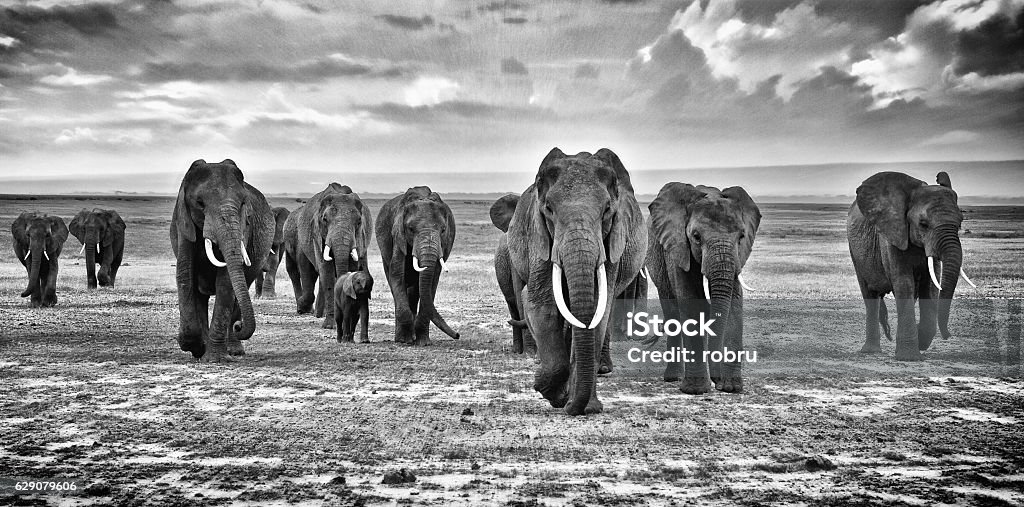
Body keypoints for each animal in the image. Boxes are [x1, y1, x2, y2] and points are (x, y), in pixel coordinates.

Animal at [171, 158, 276, 360]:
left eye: (243, 203)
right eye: (200, 203)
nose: (239, 327)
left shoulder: (244, 227)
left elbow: (226, 282)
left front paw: (214, 359)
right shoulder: (183, 224)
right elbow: (185, 274)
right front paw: (195, 347)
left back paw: (234, 350)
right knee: (200, 295)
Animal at [288, 182, 372, 329]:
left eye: (358, 222)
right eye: (325, 220)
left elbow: (352, 267)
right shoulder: (318, 235)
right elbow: (326, 271)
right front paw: (329, 325)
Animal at [376, 186, 460, 346]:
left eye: (443, 230)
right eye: (410, 229)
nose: (458, 334)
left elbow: (432, 279)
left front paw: (423, 342)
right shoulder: (398, 236)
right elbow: (397, 274)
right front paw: (404, 340)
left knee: (415, 290)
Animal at [505, 147, 647, 415]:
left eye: (607, 210)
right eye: (549, 209)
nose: (571, 406)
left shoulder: (611, 243)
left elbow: (600, 309)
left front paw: (584, 406)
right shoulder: (539, 239)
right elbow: (543, 306)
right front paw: (551, 391)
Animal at [847, 173, 974, 362]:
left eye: (959, 224)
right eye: (923, 224)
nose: (948, 335)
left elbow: (930, 286)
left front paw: (920, 340)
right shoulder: (892, 235)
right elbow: (904, 283)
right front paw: (909, 356)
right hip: (855, 252)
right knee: (870, 295)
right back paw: (870, 351)